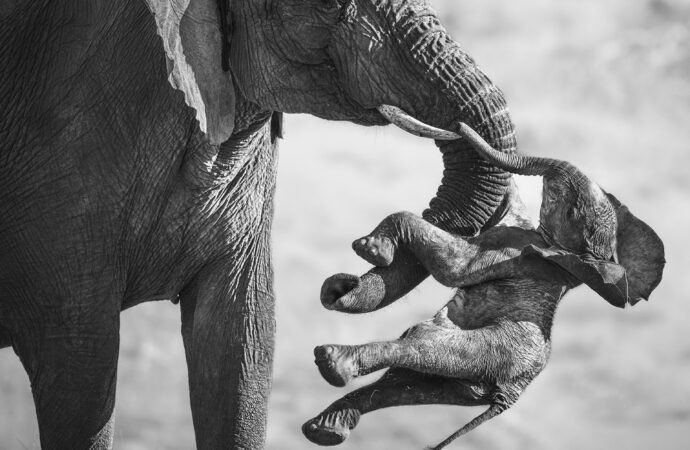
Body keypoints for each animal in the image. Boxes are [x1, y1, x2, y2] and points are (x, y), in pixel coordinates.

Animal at [304, 125, 665, 449]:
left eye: (572, 209)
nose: (457, 126)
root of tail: (509, 395)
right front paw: (340, 285)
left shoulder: (513, 248)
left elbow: (453, 268)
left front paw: (371, 250)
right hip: (469, 380)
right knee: (404, 384)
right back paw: (325, 428)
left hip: (492, 351)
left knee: (421, 346)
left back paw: (333, 364)